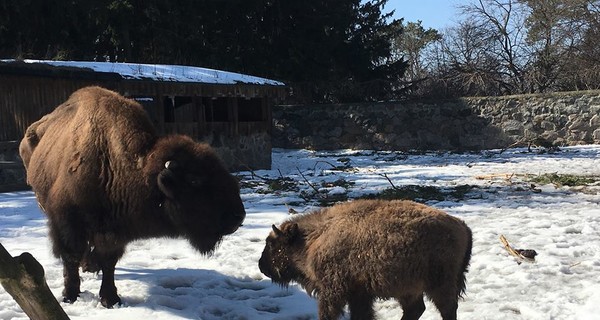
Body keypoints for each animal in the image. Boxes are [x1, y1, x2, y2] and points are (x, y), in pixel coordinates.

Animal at [20, 85, 246, 308]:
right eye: (194, 180)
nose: (238, 216)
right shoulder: (68, 222)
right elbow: (71, 258)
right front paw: (70, 296)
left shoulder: (114, 232)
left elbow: (109, 261)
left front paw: (110, 299)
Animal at [258, 199, 474, 318]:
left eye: (273, 245)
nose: (261, 266)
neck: (313, 238)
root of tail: (462, 226)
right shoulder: (359, 293)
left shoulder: (333, 291)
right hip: (410, 288)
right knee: (416, 309)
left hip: (439, 285)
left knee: (447, 309)